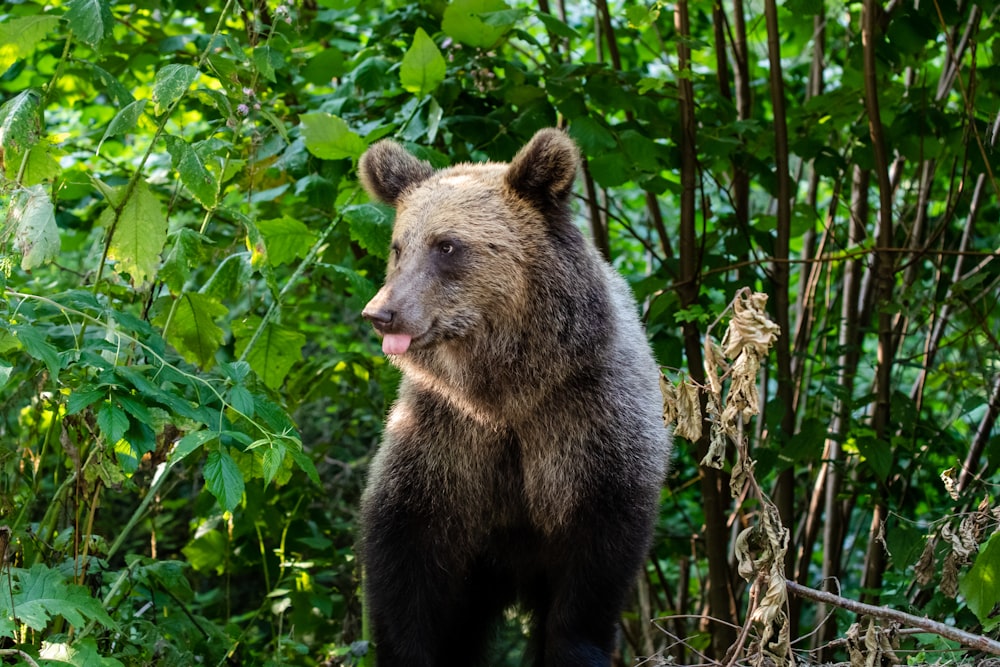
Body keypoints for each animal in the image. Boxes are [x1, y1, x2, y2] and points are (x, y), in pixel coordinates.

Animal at [360, 130, 672, 667]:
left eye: (447, 245)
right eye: (399, 246)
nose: (382, 312)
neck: (505, 390)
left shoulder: (586, 423)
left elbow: (592, 567)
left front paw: (575, 649)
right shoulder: (444, 437)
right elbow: (406, 557)